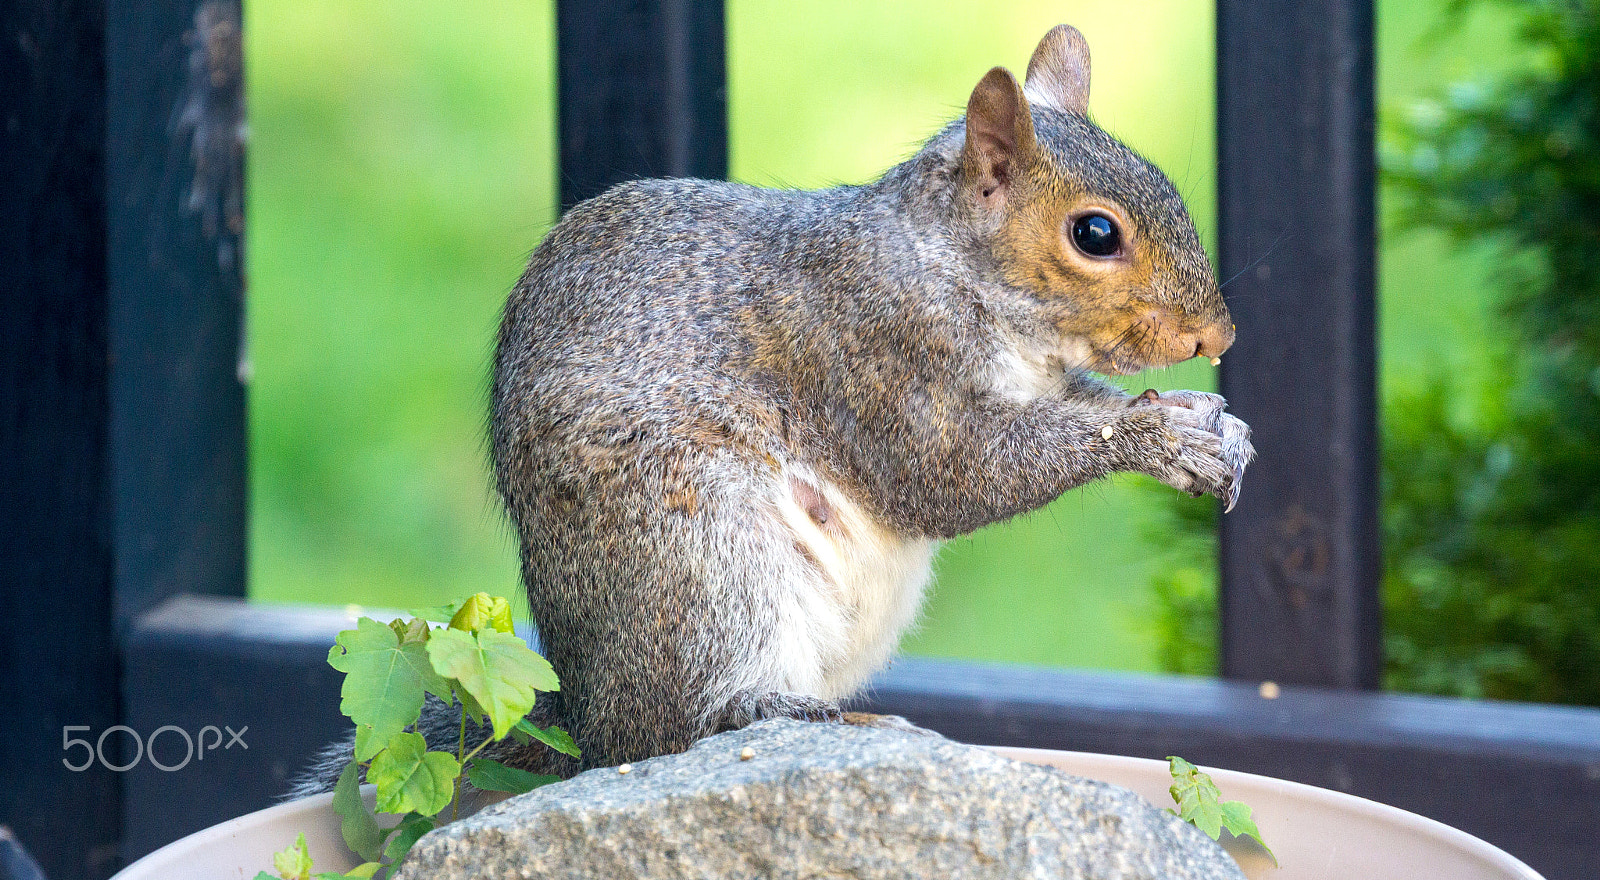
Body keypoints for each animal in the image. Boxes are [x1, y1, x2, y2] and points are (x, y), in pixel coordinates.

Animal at [297, 22, 1248, 793]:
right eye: (1095, 234)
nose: (1218, 335)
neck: (946, 264)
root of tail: (592, 720)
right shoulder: (871, 351)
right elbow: (956, 475)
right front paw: (1152, 432)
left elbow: (1073, 405)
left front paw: (1210, 423)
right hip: (699, 552)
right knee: (689, 726)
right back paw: (782, 713)